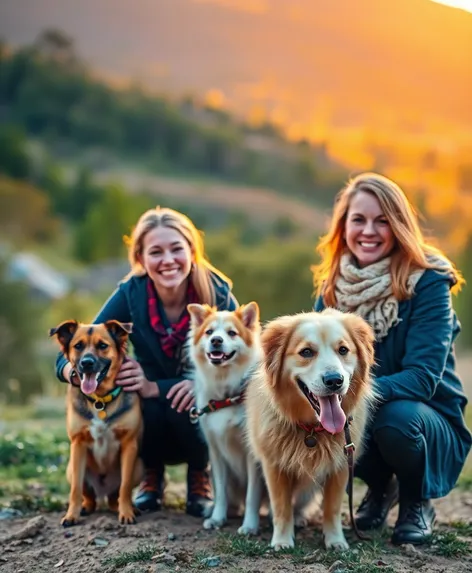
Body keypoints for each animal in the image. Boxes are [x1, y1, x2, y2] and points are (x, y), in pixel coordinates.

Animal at [49, 320, 144, 524]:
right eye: (78, 346)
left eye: (102, 345)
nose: (87, 363)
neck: (100, 400)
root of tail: (103, 491)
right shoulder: (78, 445)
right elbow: (75, 489)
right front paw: (71, 515)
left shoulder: (129, 445)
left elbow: (125, 487)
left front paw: (126, 513)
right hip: (71, 468)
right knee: (89, 496)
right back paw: (86, 507)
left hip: (139, 466)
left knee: (115, 496)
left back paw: (123, 507)